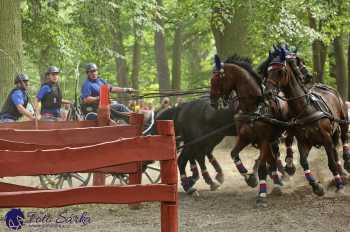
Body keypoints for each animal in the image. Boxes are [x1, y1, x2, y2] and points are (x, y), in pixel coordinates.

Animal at [211, 54, 290, 207]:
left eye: (217, 79)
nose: (212, 102)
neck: (253, 107)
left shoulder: (264, 140)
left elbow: (262, 165)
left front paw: (261, 195)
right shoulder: (244, 137)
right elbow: (233, 154)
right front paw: (248, 177)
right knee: (272, 159)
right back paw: (277, 181)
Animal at [266, 46, 350, 194]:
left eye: (280, 71)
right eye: (268, 71)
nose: (268, 92)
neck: (306, 108)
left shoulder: (326, 138)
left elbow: (331, 163)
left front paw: (339, 185)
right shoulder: (304, 141)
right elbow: (304, 162)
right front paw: (316, 185)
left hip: (342, 119)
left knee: (344, 137)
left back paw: (346, 163)